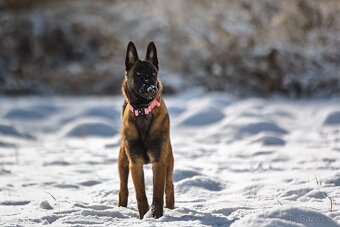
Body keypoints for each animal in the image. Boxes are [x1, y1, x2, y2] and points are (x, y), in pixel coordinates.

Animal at [118, 41, 174, 219]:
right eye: (139, 74)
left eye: (154, 73)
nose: (152, 89)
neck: (143, 111)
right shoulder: (135, 163)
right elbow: (141, 195)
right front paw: (144, 217)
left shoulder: (159, 162)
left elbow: (157, 195)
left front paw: (156, 216)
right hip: (122, 163)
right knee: (123, 190)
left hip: (169, 163)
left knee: (169, 188)